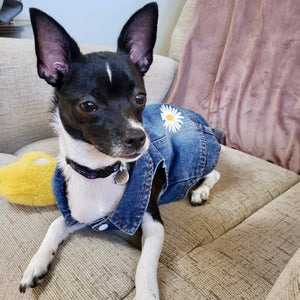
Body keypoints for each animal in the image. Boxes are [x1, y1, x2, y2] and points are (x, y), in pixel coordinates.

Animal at [19, 2, 220, 300]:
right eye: (88, 106)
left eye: (140, 97)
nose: (138, 138)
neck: (98, 171)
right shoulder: (80, 214)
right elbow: (55, 224)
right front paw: (36, 264)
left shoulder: (152, 222)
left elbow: (145, 264)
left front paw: (146, 293)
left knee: (214, 173)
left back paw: (200, 191)